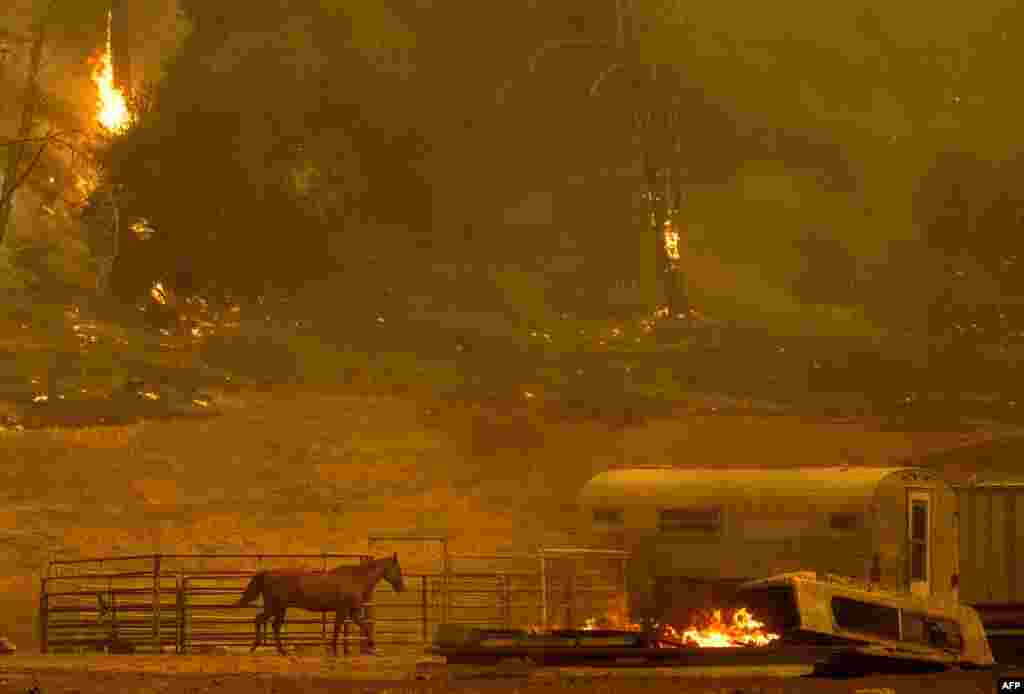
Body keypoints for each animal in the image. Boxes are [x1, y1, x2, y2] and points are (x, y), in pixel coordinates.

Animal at [236, 552, 403, 659]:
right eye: (398, 569)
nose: (402, 587)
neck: (356, 578)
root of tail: (268, 573)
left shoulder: (352, 611)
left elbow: (364, 626)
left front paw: (373, 647)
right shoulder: (343, 610)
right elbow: (338, 628)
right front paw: (334, 651)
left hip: (280, 609)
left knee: (273, 625)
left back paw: (281, 651)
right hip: (274, 607)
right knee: (260, 620)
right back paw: (255, 647)